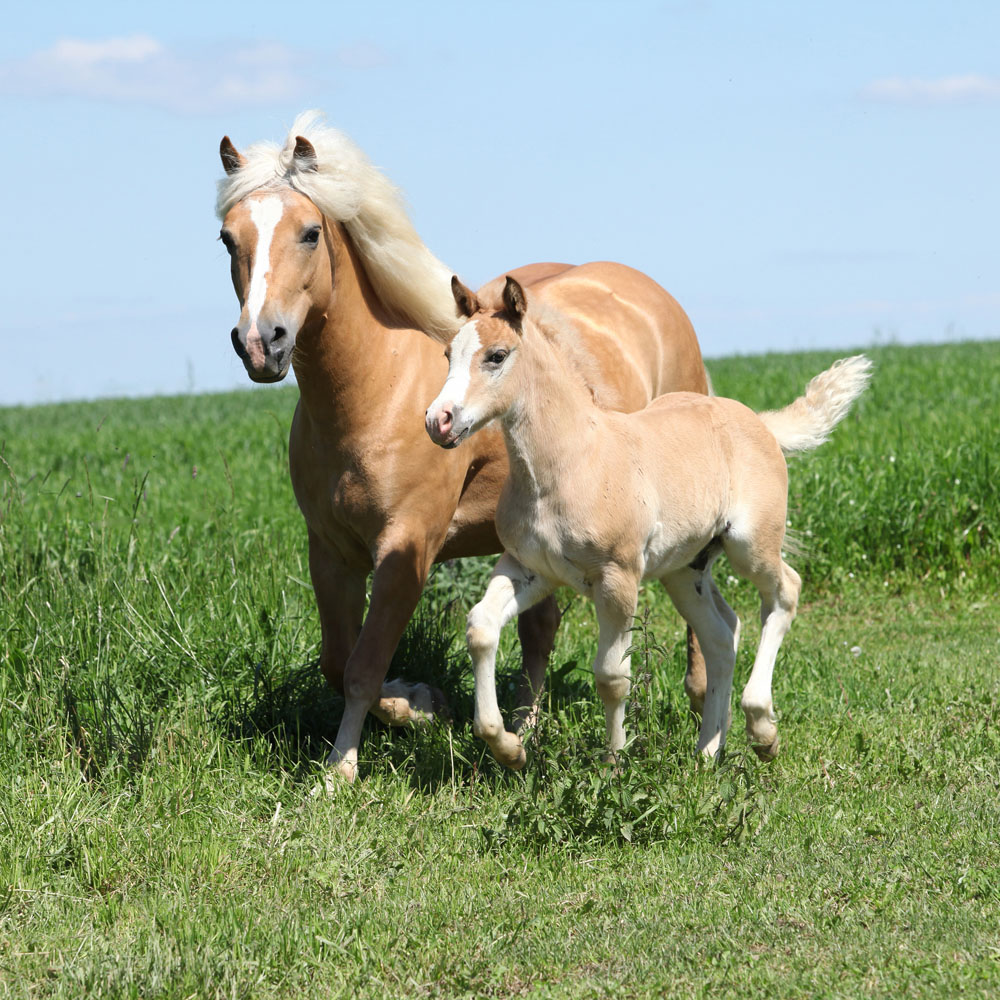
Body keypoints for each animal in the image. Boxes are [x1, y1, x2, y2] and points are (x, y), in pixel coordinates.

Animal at [214, 111, 712, 780]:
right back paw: (524, 729)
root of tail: (653, 295)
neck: (376, 390)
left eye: (310, 233)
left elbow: (363, 666)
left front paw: (345, 767)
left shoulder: (407, 549)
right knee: (540, 629)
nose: (260, 342)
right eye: (228, 238)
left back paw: (701, 706)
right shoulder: (332, 552)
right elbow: (336, 661)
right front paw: (424, 704)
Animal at [426, 278, 872, 768]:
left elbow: (611, 676)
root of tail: (758, 421)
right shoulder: (530, 568)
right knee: (721, 633)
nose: (438, 421)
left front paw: (615, 765)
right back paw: (707, 752)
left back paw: (762, 730)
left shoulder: (618, 577)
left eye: (497, 355)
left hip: (751, 543)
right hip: (685, 568)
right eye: (447, 354)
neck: (571, 463)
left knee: (784, 592)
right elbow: (481, 628)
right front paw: (508, 748)